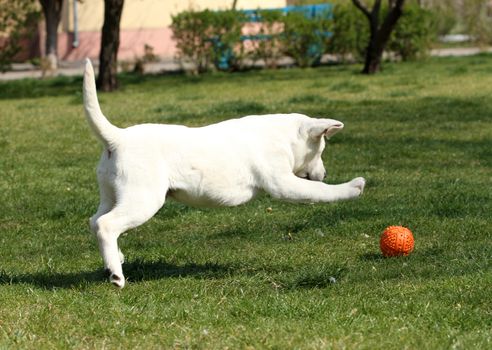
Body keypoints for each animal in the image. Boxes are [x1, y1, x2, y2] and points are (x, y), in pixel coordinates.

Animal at [81, 58, 366, 288]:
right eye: (320, 151)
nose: (324, 173)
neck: (284, 135)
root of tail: (117, 138)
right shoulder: (284, 183)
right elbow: (319, 192)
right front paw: (353, 187)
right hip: (143, 199)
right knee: (107, 224)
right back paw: (116, 275)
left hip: (113, 194)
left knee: (95, 221)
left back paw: (115, 260)